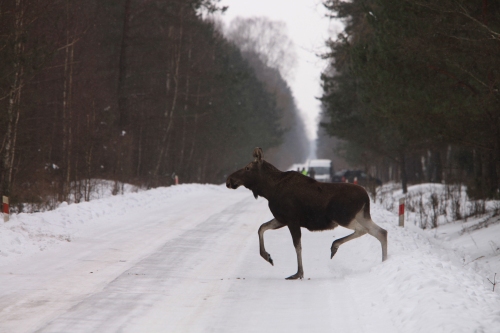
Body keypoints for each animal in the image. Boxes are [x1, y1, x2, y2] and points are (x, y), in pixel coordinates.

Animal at [226, 147, 386, 278]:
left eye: (247, 168)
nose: (229, 180)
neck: (269, 190)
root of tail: (366, 196)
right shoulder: (282, 219)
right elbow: (261, 228)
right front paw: (267, 256)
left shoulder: (291, 219)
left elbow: (297, 246)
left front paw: (299, 273)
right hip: (360, 215)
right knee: (381, 232)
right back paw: (384, 261)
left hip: (344, 217)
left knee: (365, 230)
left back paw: (335, 245)